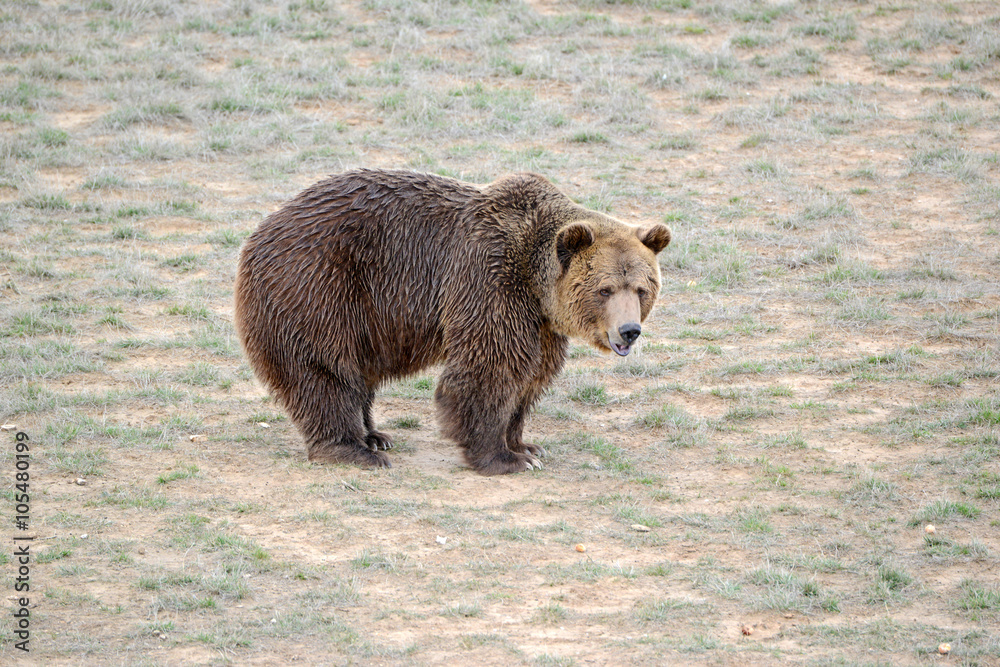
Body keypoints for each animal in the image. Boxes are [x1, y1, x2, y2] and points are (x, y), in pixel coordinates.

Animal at [234, 170, 672, 478]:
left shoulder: (540, 321)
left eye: (642, 288)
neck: (536, 280)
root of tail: (258, 232)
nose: (629, 330)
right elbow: (491, 368)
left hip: (362, 315)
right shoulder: (490, 281)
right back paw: (351, 449)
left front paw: (526, 446)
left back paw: (375, 436)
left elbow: (532, 374)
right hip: (319, 286)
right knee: (324, 369)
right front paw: (503, 457)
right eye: (605, 289)